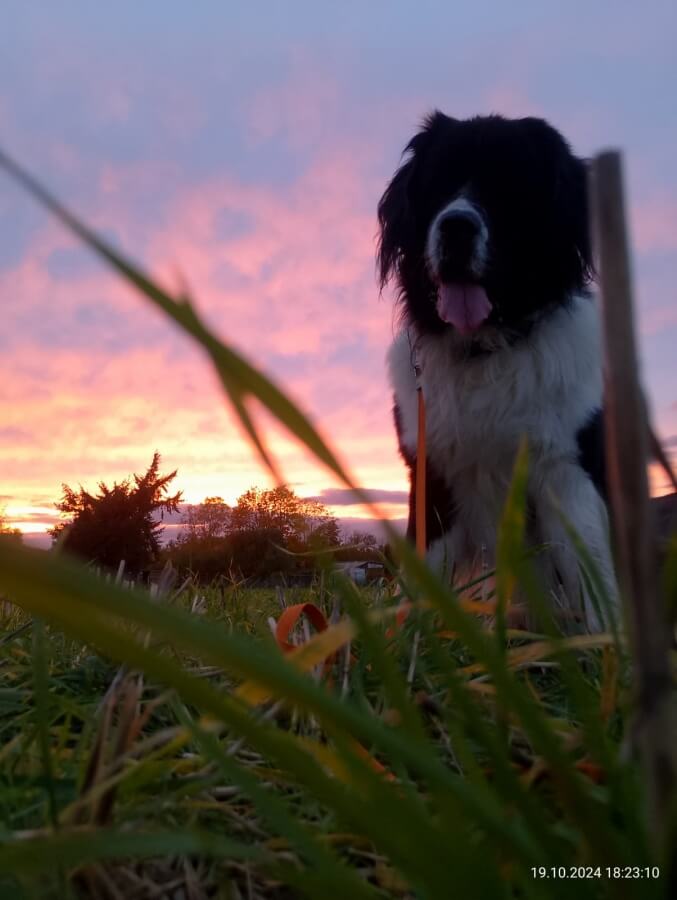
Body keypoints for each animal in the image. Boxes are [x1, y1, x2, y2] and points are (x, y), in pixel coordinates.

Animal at [378, 112, 616, 632]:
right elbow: (424, 568)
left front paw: (607, 647)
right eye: (438, 183)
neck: (485, 352)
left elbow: (592, 576)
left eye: (510, 186)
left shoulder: (567, 469)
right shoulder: (432, 473)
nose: (456, 227)